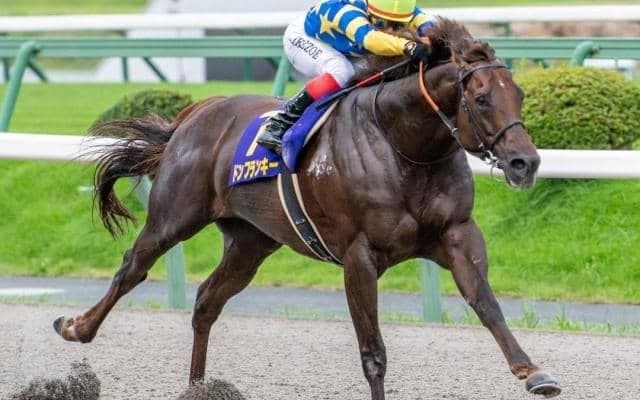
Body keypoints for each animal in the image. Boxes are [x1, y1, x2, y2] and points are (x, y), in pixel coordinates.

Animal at [53, 19, 560, 399]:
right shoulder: (359, 255)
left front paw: (534, 372)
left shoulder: (456, 233)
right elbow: (373, 352)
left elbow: (486, 303)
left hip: (250, 243)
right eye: (481, 99)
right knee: (131, 269)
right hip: (173, 218)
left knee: (206, 303)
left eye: (520, 95)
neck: (404, 145)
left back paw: (198, 387)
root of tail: (196, 114)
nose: (525, 162)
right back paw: (76, 327)